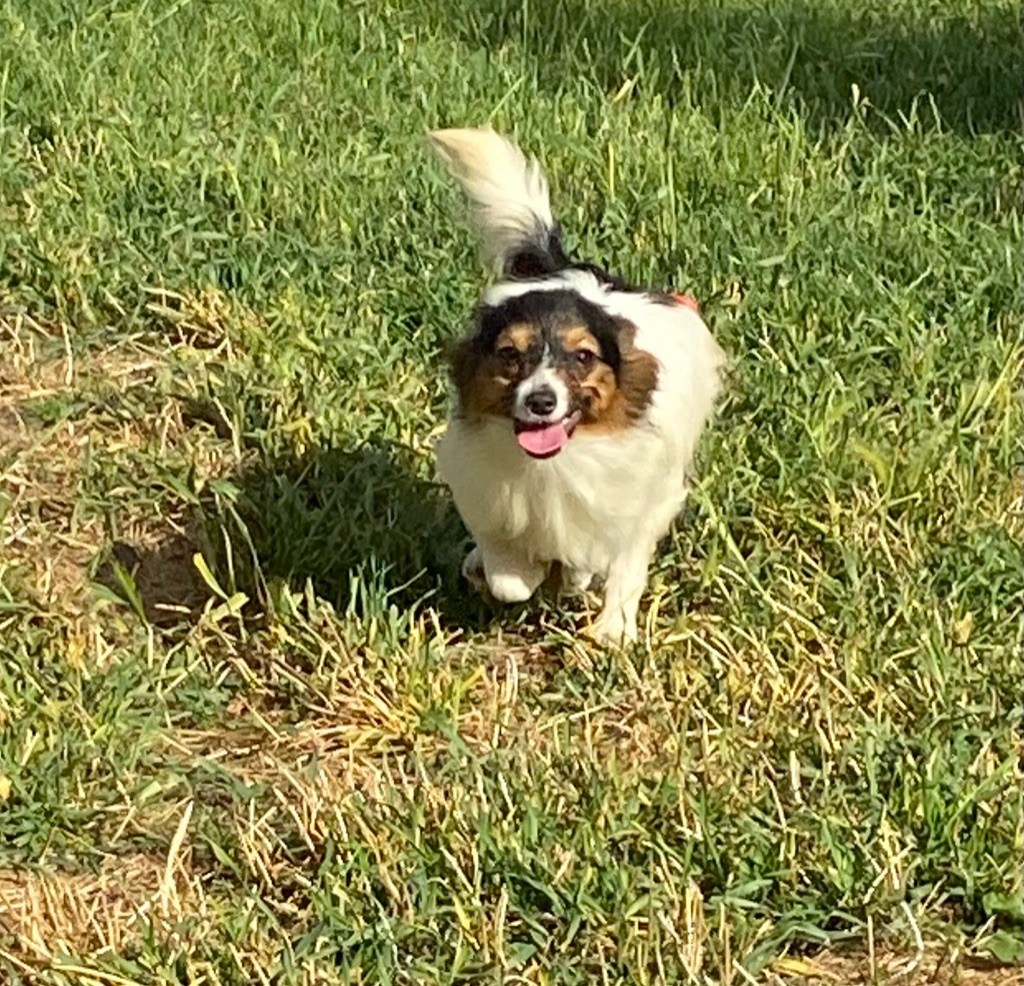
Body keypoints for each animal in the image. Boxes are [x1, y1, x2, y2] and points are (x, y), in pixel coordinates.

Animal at [428, 127, 725, 643]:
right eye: (509, 355)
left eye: (583, 357)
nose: (542, 401)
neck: (558, 462)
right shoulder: (483, 488)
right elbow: (508, 577)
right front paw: (515, 573)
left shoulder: (643, 501)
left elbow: (621, 564)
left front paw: (612, 629)